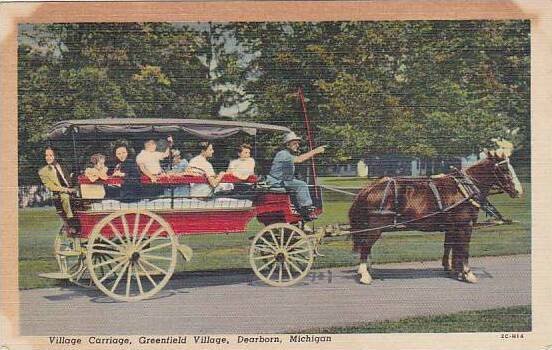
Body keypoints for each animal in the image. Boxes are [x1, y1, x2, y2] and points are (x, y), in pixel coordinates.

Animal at [350, 148, 520, 284]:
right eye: (504, 169)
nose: (518, 191)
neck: (465, 189)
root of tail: (369, 188)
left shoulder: (453, 227)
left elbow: (451, 247)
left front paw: (456, 271)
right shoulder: (465, 225)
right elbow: (464, 249)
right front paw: (468, 274)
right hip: (376, 226)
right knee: (365, 246)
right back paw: (365, 275)